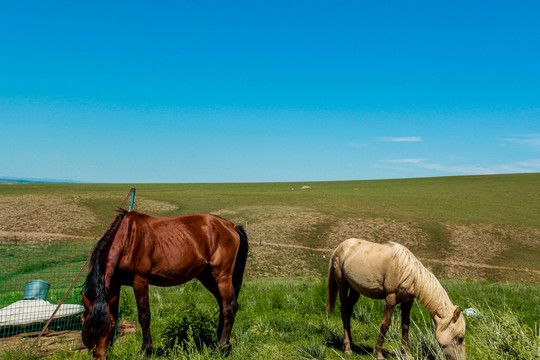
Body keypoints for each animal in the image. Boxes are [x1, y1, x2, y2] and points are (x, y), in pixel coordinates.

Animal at [80, 210, 249, 358]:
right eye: (89, 329)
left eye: (106, 328)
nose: (99, 355)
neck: (127, 239)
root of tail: (231, 226)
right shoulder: (115, 284)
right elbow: (114, 313)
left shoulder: (140, 280)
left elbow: (144, 316)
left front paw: (146, 351)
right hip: (207, 277)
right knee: (223, 305)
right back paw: (221, 342)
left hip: (222, 275)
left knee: (230, 307)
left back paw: (221, 348)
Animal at [326, 239, 466, 360]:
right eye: (460, 338)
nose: (462, 359)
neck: (408, 272)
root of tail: (340, 247)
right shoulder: (390, 299)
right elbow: (385, 325)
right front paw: (379, 353)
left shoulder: (408, 301)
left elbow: (405, 325)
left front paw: (406, 353)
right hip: (342, 283)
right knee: (344, 311)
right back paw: (348, 348)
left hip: (355, 290)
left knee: (349, 311)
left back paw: (350, 342)